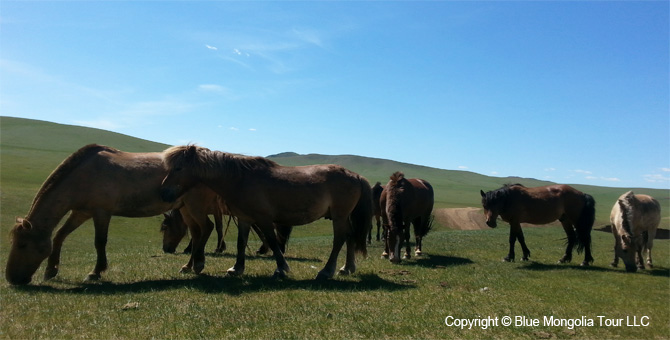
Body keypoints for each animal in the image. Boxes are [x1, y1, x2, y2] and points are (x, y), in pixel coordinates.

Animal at [4, 143, 218, 284]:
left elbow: (100, 242)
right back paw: (188, 266)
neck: (83, 176)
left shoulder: (101, 213)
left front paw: (95, 272)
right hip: (185, 208)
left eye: (23, 245)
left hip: (194, 206)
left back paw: (199, 264)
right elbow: (59, 236)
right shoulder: (81, 212)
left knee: (207, 227)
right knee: (197, 233)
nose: (11, 279)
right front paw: (51, 269)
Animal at [161, 143, 376, 278]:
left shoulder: (264, 219)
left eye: (178, 168)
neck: (241, 179)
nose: (164, 192)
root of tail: (356, 176)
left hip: (339, 216)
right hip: (344, 216)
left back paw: (326, 271)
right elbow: (241, 243)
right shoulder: (244, 219)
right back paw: (347, 268)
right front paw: (236, 268)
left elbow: (272, 241)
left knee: (339, 239)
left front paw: (281, 269)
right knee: (350, 237)